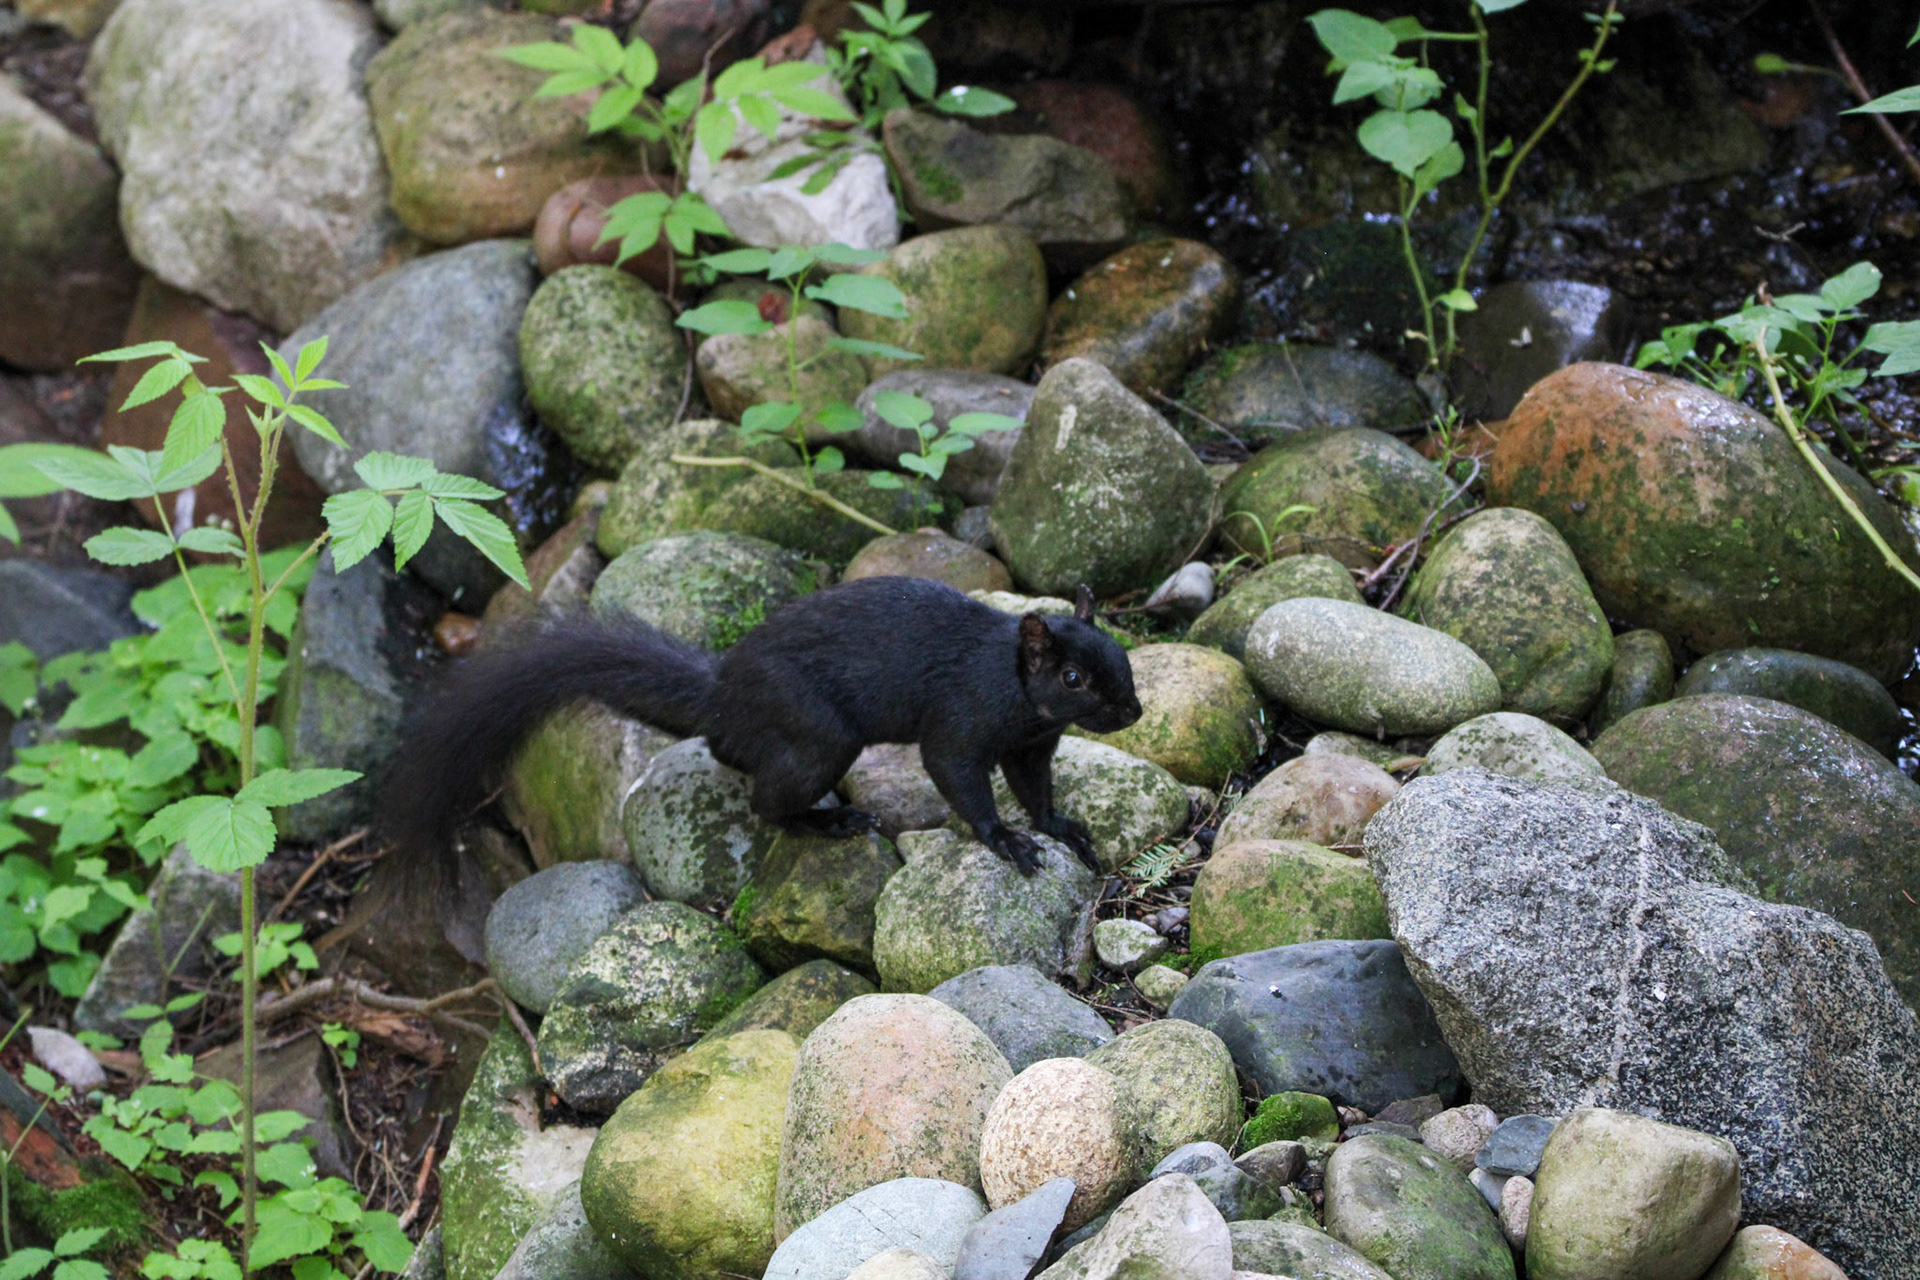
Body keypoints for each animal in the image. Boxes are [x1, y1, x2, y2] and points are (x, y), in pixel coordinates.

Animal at [377, 575, 1143, 879]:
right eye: (1073, 679)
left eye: (1122, 656)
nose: (1134, 711)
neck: (1016, 691)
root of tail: (724, 695)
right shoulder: (960, 719)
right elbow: (957, 775)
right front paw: (1004, 839)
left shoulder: (1032, 746)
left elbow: (1036, 791)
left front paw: (1061, 827)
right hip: (820, 737)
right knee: (762, 798)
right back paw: (831, 821)